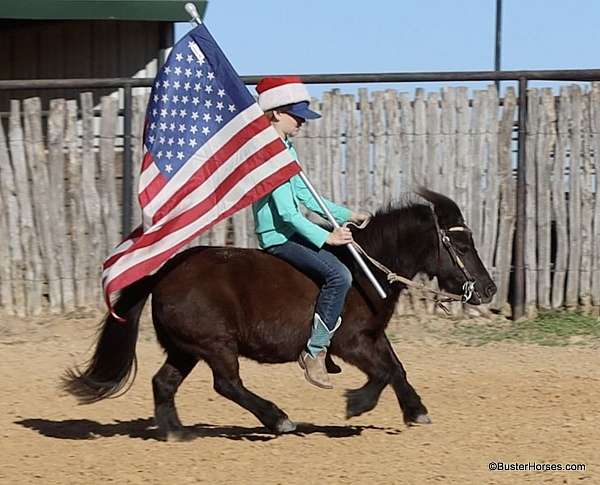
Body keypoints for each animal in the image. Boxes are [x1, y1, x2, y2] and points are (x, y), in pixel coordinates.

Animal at [64, 188, 496, 434]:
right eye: (461, 245)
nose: (489, 289)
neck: (364, 269)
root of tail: (165, 271)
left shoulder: (373, 337)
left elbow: (398, 369)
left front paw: (417, 413)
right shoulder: (352, 343)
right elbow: (384, 373)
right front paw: (355, 405)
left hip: (186, 349)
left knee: (164, 383)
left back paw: (177, 432)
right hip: (215, 345)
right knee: (227, 384)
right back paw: (279, 419)